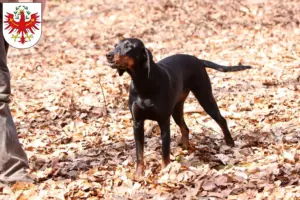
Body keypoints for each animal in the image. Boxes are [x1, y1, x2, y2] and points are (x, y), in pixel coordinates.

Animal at [106, 38, 252, 177]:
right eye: (115, 45)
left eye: (128, 46)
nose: (108, 55)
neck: (144, 84)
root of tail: (198, 60)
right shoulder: (137, 123)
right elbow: (139, 153)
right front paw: (139, 174)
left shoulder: (164, 122)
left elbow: (165, 152)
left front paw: (165, 172)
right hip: (177, 110)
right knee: (185, 128)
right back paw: (186, 148)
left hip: (205, 98)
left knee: (221, 120)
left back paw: (229, 142)